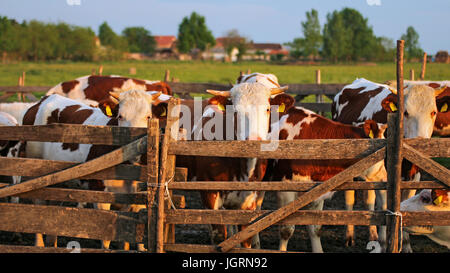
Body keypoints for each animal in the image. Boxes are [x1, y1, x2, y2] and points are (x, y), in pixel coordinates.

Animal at [14, 90, 161, 248]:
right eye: (120, 116)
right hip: (34, 170)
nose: (135, 146)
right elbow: (106, 238)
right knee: (38, 204)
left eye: (148, 116)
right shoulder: (100, 191)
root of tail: (44, 100)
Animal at [174, 82, 290, 248]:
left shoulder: (248, 200)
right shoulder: (209, 194)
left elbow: (244, 239)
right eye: (235, 112)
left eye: (267, 109)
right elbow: (219, 235)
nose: (253, 141)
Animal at [330, 77, 446, 248]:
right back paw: (350, 236)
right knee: (350, 198)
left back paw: (372, 235)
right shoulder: (385, 177)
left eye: (434, 112)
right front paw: (385, 242)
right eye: (405, 112)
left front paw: (405, 245)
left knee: (369, 201)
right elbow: (385, 206)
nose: (420, 143)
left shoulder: (413, 176)